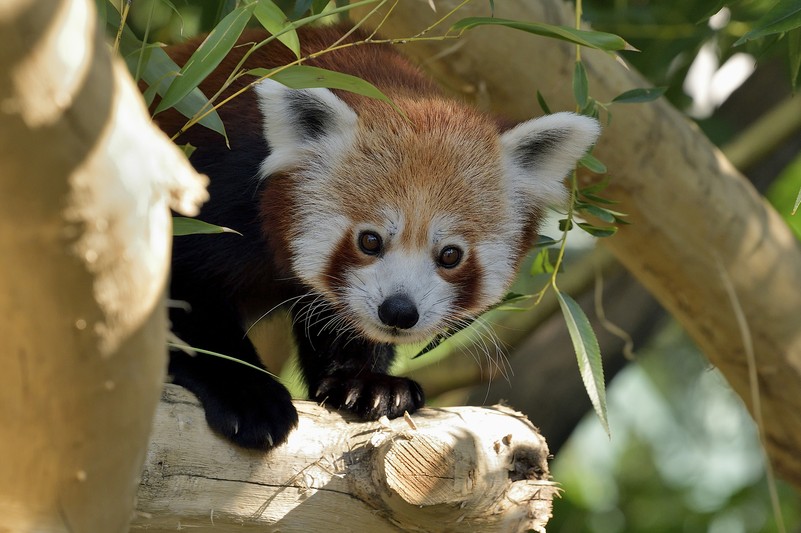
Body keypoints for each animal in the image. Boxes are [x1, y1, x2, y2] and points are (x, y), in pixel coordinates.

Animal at [161, 26, 600, 448]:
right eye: (369, 241)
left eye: (450, 255)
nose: (399, 312)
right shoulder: (216, 188)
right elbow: (186, 304)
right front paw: (247, 393)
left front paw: (367, 383)